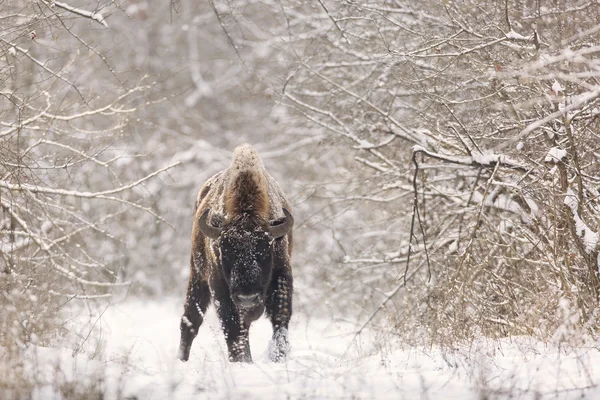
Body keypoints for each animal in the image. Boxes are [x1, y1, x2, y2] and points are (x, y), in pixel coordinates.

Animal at [178, 144, 296, 362]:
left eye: (264, 251)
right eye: (225, 252)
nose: (247, 298)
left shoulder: (281, 274)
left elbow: (280, 317)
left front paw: (278, 356)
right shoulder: (219, 286)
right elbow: (232, 326)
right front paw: (243, 361)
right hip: (197, 275)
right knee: (190, 321)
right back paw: (181, 359)